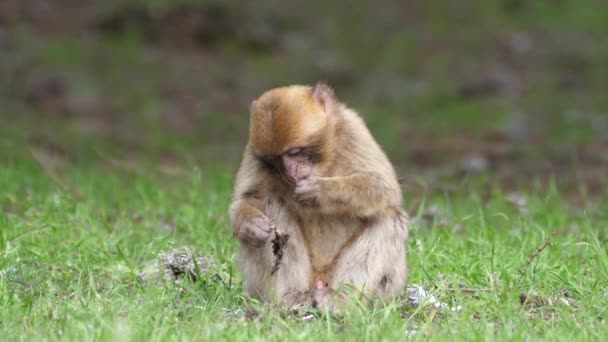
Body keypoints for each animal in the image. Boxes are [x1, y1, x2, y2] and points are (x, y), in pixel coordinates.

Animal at [228, 82, 408, 310]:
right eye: (274, 160)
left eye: (294, 152)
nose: (291, 172)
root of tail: (319, 280)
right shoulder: (253, 151)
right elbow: (247, 198)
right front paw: (251, 225)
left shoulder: (353, 129)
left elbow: (384, 187)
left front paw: (320, 191)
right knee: (272, 205)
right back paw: (292, 296)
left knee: (389, 218)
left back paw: (340, 299)